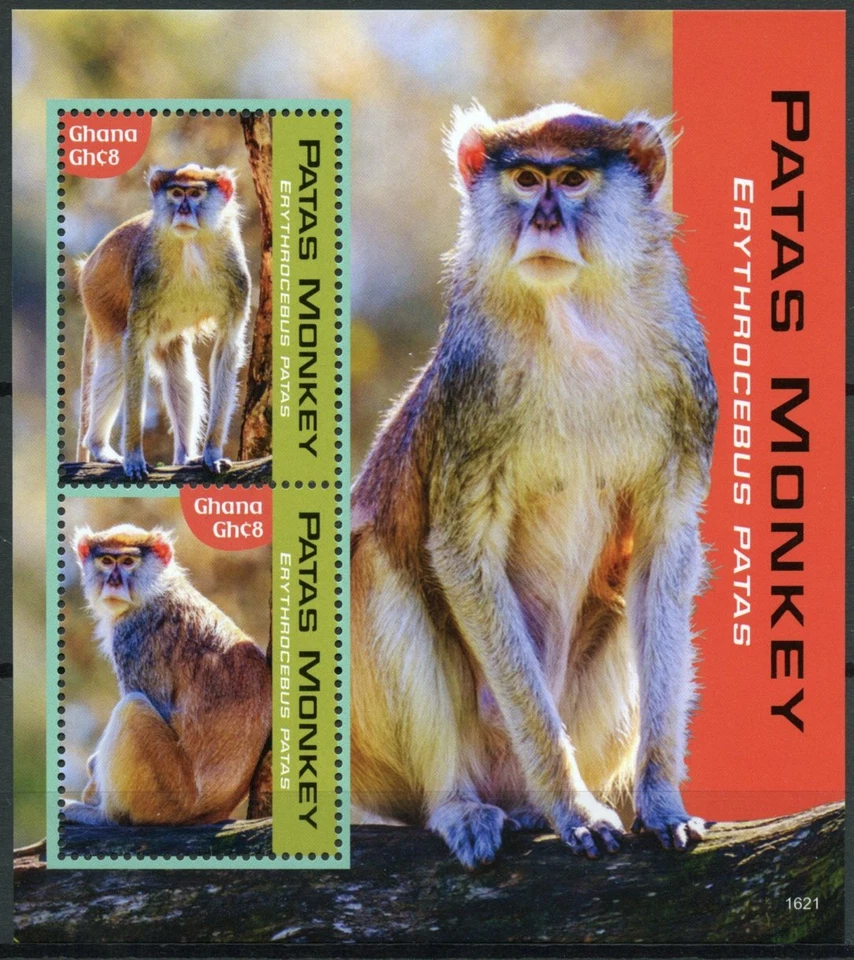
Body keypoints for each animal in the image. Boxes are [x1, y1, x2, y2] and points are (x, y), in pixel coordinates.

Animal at [63, 524, 270, 827]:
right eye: (106, 561)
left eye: (128, 562)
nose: (114, 582)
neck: (157, 588)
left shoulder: (134, 635)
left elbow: (154, 704)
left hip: (168, 796)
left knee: (133, 708)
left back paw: (106, 817)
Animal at [75, 164, 251, 480]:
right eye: (176, 193)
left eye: (195, 194)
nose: (182, 210)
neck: (192, 244)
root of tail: (88, 266)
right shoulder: (146, 277)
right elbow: (133, 346)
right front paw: (134, 456)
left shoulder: (238, 281)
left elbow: (227, 348)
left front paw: (212, 453)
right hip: (99, 297)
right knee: (117, 358)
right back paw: (98, 447)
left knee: (177, 367)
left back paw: (185, 456)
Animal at [350, 103, 718, 869]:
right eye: (525, 179)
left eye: (572, 179)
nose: (543, 219)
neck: (574, 320)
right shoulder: (472, 391)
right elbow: (459, 556)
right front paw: (572, 807)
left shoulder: (686, 391)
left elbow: (664, 555)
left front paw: (663, 800)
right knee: (377, 564)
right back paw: (461, 804)